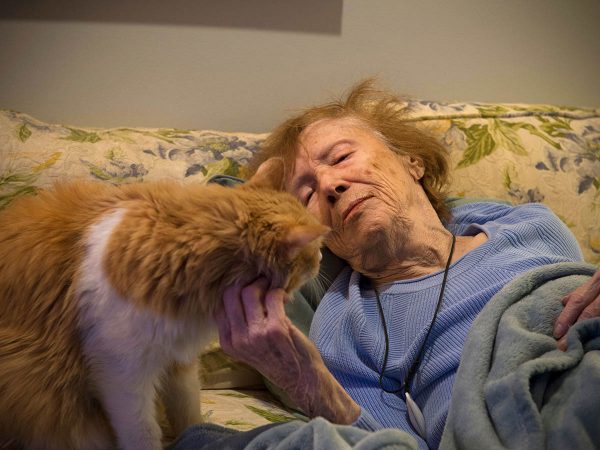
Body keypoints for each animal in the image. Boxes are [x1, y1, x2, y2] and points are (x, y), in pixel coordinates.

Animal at [0, 160, 328, 450]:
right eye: (313, 253)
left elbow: (188, 413)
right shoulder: (121, 373)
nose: (323, 259)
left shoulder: (178, 360)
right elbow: (143, 433)